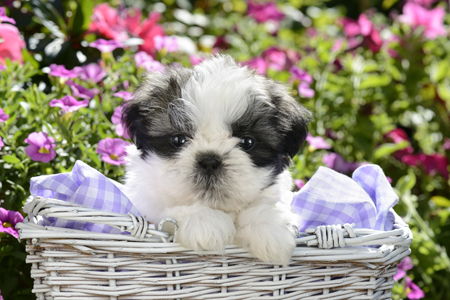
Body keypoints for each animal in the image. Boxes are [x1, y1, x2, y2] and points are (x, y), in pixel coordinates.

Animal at [123, 54, 312, 264]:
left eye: (248, 142)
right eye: (178, 139)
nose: (209, 161)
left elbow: (266, 205)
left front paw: (269, 225)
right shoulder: (145, 202)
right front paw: (203, 220)